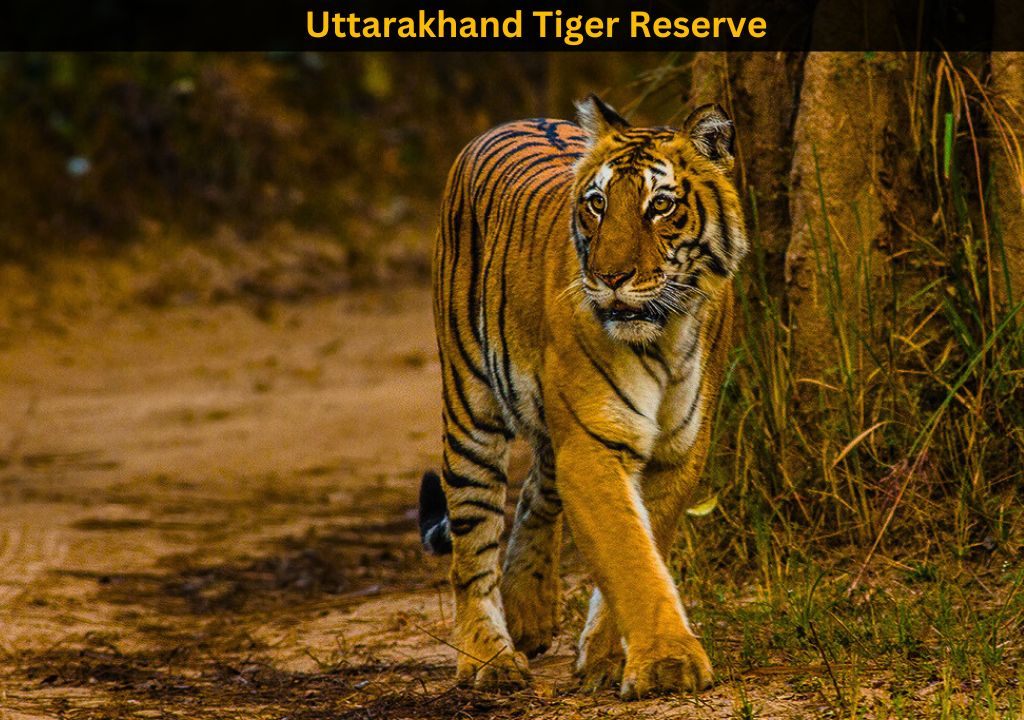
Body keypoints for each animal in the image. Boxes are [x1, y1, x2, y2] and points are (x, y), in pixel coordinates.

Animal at [417, 94, 747, 700]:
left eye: (660, 205)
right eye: (597, 204)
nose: (610, 277)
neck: (664, 336)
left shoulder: (678, 451)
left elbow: (645, 544)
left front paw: (608, 657)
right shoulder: (593, 446)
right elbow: (629, 554)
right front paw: (667, 662)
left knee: (535, 493)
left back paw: (528, 612)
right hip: (470, 407)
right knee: (472, 543)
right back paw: (489, 657)